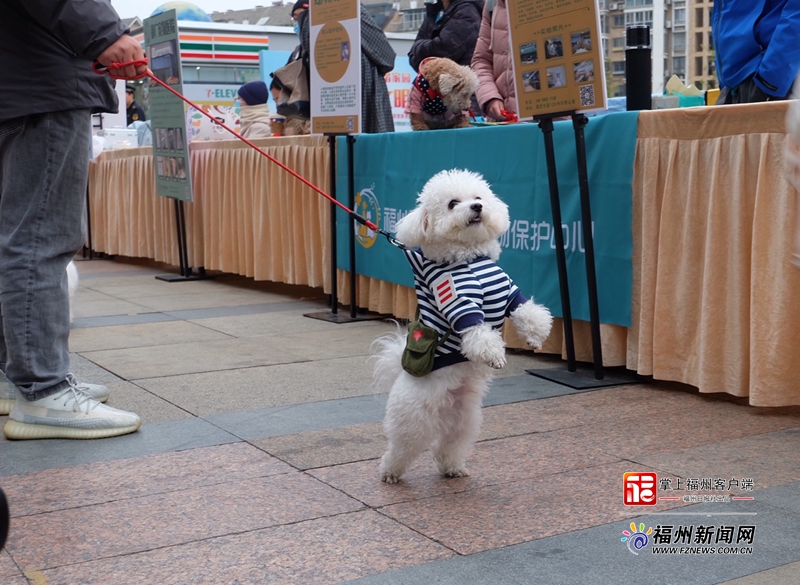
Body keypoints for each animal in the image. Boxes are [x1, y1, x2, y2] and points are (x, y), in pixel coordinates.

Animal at [372, 167, 552, 482]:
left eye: (477, 197)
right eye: (452, 203)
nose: (477, 207)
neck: (471, 258)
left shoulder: (508, 293)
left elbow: (527, 311)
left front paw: (535, 336)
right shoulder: (459, 301)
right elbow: (478, 331)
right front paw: (495, 356)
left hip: (465, 418)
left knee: (450, 444)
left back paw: (453, 468)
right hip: (414, 417)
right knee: (402, 445)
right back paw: (391, 472)